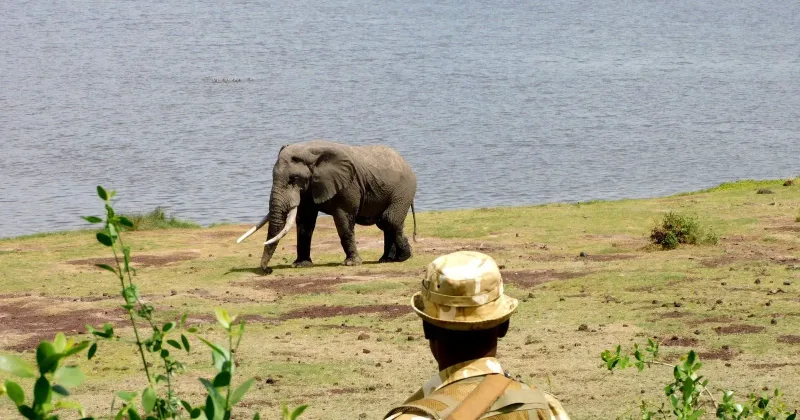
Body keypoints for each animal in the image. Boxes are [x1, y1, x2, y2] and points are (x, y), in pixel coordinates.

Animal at [236, 140, 417, 273]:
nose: (268, 270)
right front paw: (300, 265)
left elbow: (343, 220)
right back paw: (387, 259)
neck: (309, 152)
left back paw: (403, 257)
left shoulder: (348, 185)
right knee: (388, 223)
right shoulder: (309, 188)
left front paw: (351, 264)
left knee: (388, 220)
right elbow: (305, 222)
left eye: (293, 179)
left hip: (403, 191)